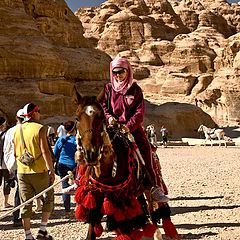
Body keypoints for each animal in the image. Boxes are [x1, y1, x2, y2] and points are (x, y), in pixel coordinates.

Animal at [71, 87, 178, 240]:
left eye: (101, 118)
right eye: (77, 118)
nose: (90, 154)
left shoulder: (122, 199)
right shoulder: (95, 196)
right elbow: (92, 228)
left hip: (149, 186)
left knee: (153, 210)